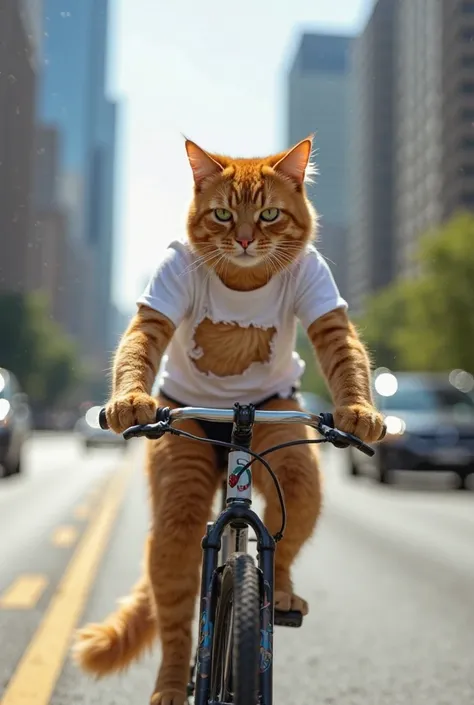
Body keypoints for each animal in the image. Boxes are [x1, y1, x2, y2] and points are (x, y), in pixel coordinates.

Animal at [74, 135, 386, 700]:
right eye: (222, 214)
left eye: (268, 215)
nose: (242, 240)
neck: (245, 277)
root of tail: (236, 420)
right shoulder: (167, 284)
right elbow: (143, 335)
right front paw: (129, 401)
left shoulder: (319, 287)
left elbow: (341, 344)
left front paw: (359, 412)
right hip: (182, 463)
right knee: (177, 596)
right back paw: (172, 681)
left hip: (276, 428)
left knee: (293, 507)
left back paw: (283, 592)